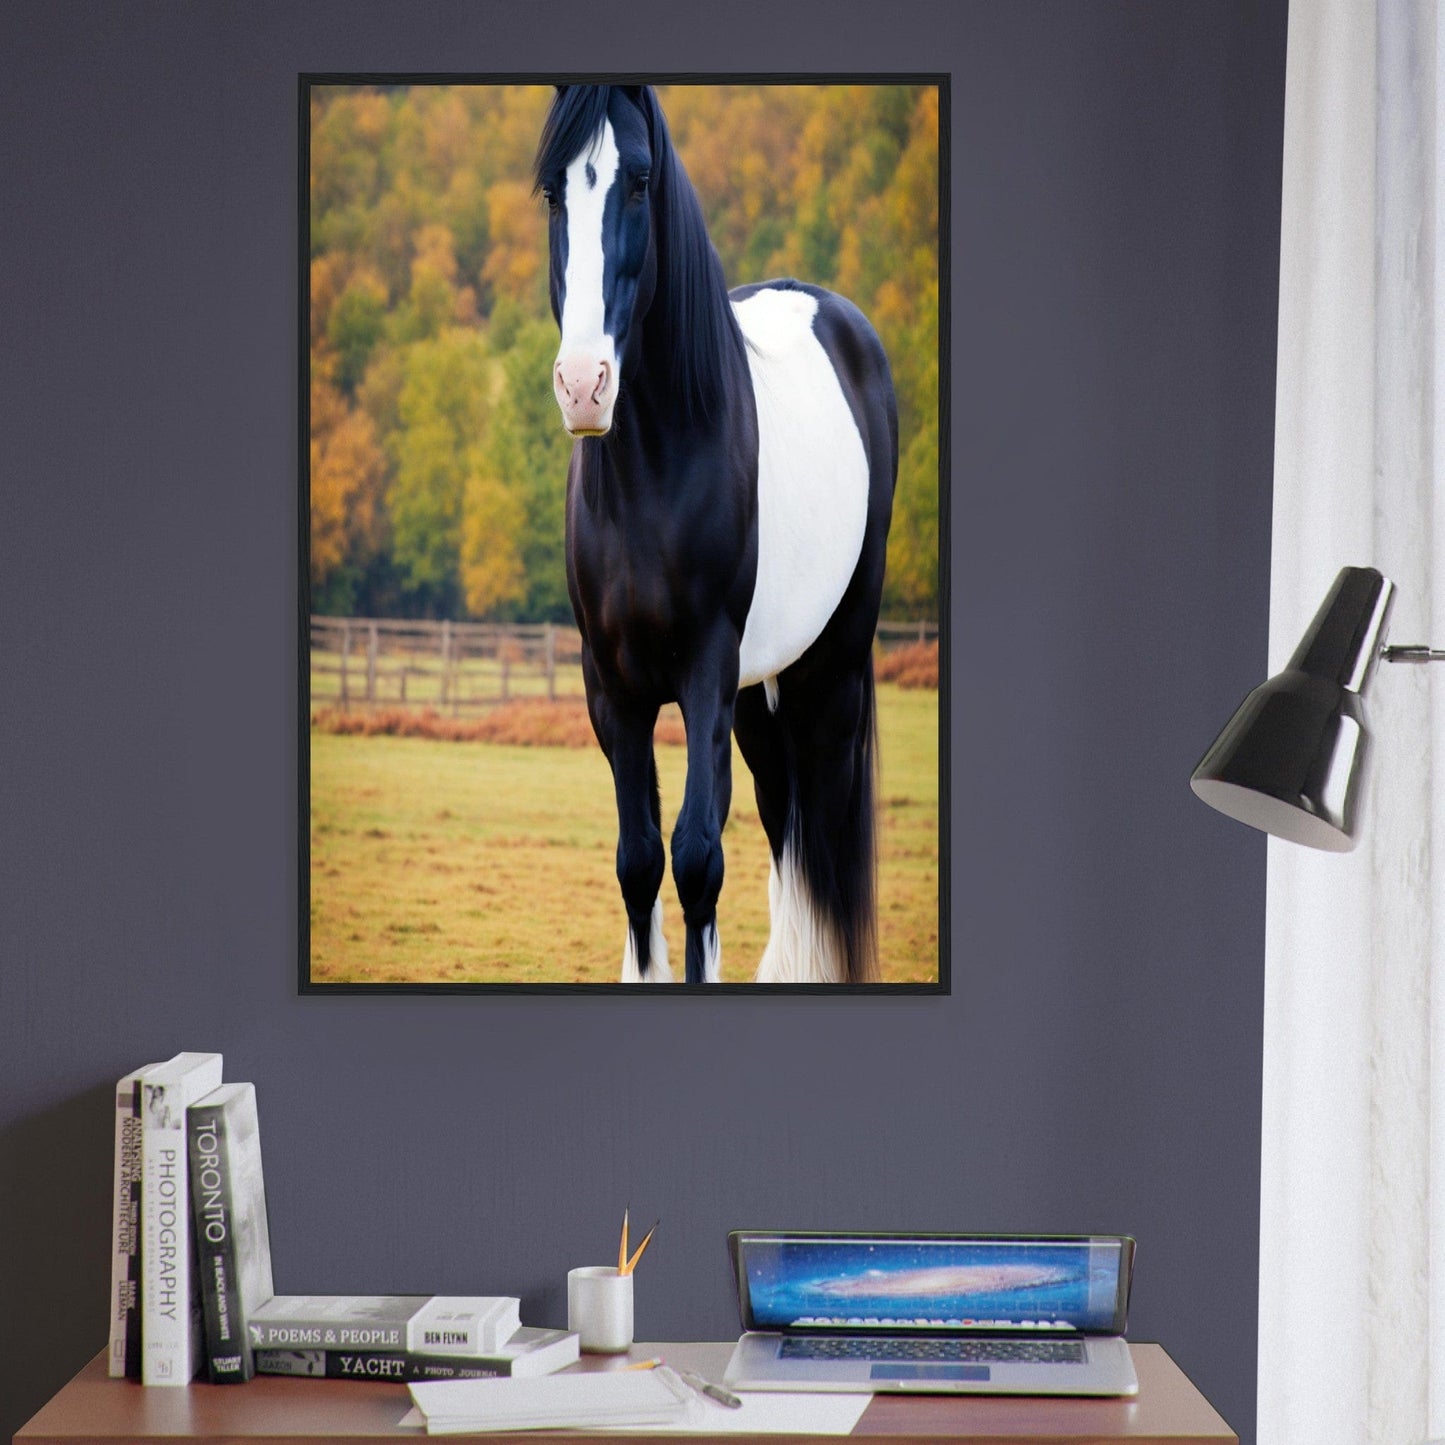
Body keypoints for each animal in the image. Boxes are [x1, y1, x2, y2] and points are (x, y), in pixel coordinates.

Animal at [534, 84, 898, 984]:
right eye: (553, 193)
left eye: (638, 180)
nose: (583, 386)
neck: (652, 476)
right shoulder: (612, 688)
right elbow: (637, 859)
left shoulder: (704, 670)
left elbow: (696, 854)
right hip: (760, 686)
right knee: (783, 815)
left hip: (829, 666)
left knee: (816, 820)